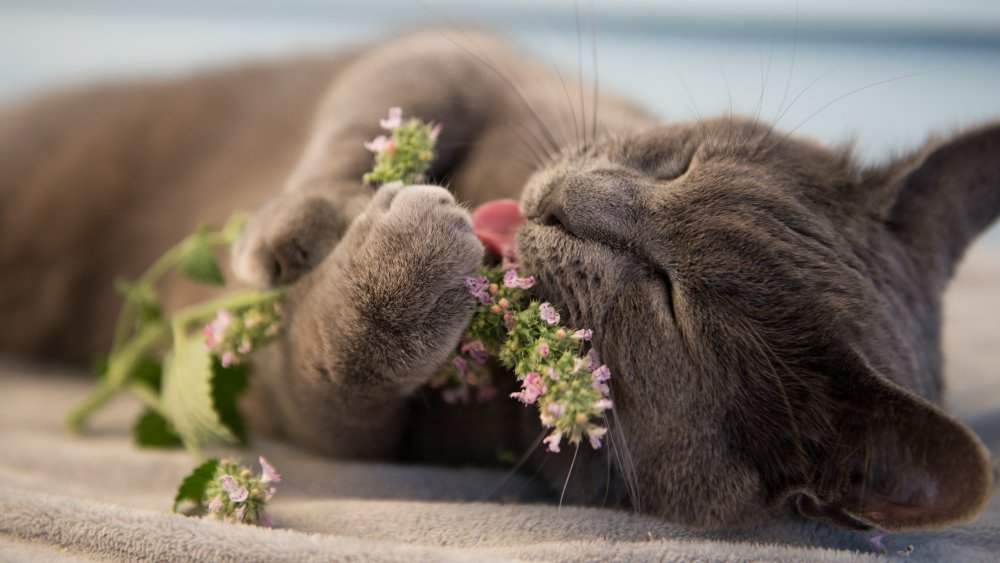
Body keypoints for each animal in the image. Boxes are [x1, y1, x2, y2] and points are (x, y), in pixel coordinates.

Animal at [0, 28, 996, 532]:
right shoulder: (471, 53)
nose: (570, 205)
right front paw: (286, 230)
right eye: (679, 162)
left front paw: (402, 262)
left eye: (670, 297)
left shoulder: (321, 414)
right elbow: (386, 87)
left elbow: (334, 372)